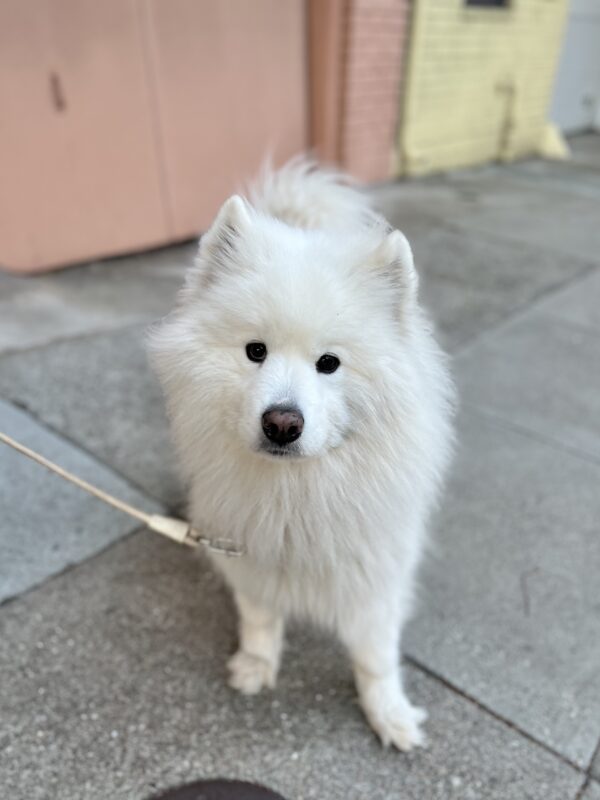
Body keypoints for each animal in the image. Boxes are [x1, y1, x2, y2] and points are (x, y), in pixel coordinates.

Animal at [150, 159, 454, 752]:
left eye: (329, 363)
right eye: (256, 351)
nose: (282, 423)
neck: (296, 492)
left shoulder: (375, 577)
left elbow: (375, 657)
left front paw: (389, 715)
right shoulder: (247, 553)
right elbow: (260, 619)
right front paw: (255, 666)